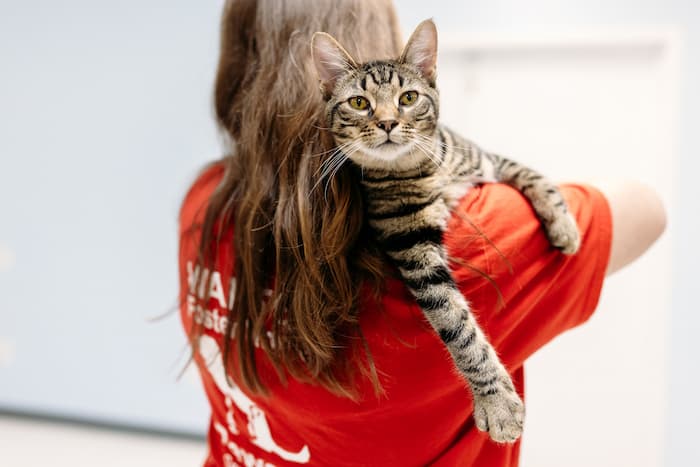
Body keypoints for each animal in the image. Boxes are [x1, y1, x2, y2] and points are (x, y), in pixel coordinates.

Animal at [312, 19, 580, 442]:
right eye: (359, 103)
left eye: (408, 97)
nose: (387, 123)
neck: (426, 168)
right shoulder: (412, 243)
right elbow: (459, 326)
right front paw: (496, 402)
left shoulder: (488, 161)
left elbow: (533, 175)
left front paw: (564, 225)